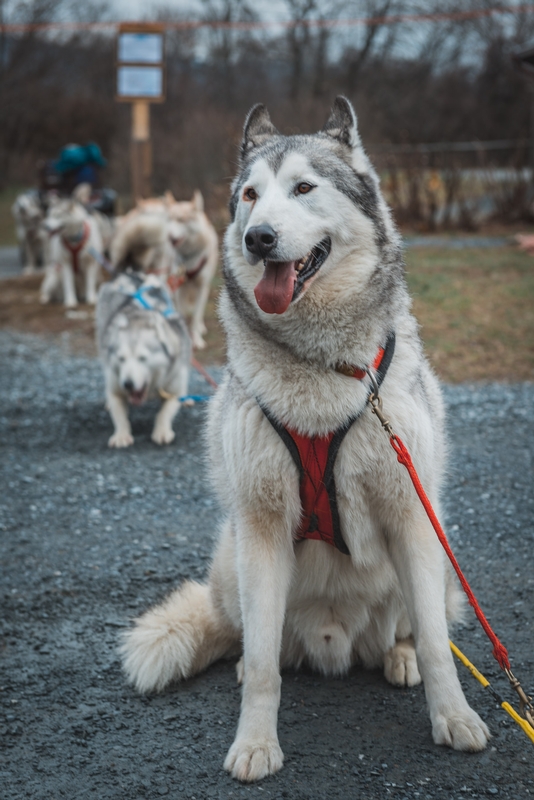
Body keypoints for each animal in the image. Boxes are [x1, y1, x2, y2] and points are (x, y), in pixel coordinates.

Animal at [97, 274, 193, 450]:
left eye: (143, 358)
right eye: (121, 358)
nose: (127, 384)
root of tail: (130, 274)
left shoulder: (174, 390)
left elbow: (164, 412)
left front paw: (162, 430)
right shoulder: (116, 387)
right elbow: (119, 414)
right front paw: (121, 434)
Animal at [120, 95, 490, 780]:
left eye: (303, 188)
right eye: (249, 195)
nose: (257, 238)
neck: (322, 366)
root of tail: (335, 642)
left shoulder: (410, 510)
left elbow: (436, 641)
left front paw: (452, 717)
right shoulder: (263, 527)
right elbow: (267, 663)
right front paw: (255, 742)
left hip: (437, 536)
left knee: (412, 626)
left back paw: (397, 655)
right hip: (232, 555)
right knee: (254, 640)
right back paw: (245, 662)